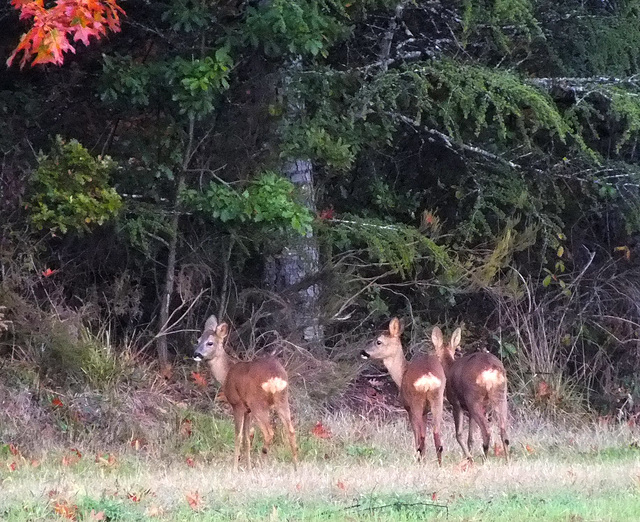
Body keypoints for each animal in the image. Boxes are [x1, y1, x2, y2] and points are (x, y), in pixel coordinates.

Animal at [191, 314, 298, 470]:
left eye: (210, 343)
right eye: (198, 340)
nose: (196, 354)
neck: (227, 373)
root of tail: (275, 378)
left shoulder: (238, 404)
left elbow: (238, 436)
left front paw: (235, 468)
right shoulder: (248, 410)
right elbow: (247, 438)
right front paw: (248, 468)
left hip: (258, 403)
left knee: (269, 432)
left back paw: (263, 463)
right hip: (282, 399)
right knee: (290, 430)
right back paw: (296, 467)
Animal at [360, 316, 444, 464]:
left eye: (378, 341)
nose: (363, 352)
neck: (401, 374)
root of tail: (428, 377)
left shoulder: (408, 407)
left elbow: (417, 435)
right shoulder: (425, 411)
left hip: (416, 402)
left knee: (421, 437)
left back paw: (419, 460)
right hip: (438, 399)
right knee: (436, 434)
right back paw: (438, 464)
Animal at [430, 324, 510, 460]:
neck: (448, 368)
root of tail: (491, 369)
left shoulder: (456, 403)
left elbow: (459, 434)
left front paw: (468, 457)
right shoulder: (469, 410)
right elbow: (470, 438)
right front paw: (470, 455)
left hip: (474, 398)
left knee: (487, 430)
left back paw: (484, 459)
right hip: (501, 395)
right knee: (503, 431)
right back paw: (507, 460)